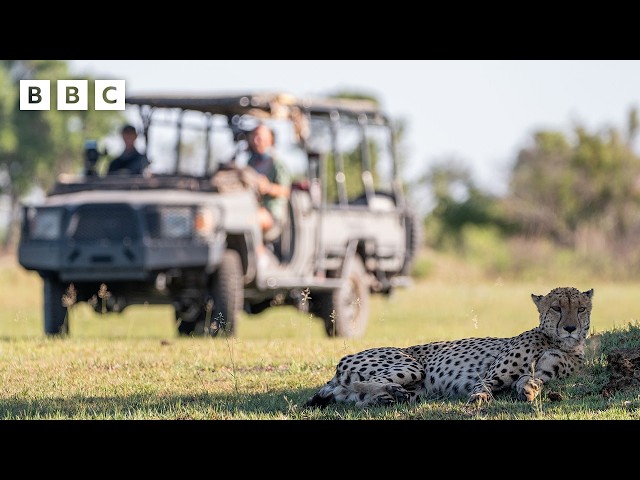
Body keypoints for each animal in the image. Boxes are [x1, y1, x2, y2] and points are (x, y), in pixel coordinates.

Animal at [304, 286, 596, 406]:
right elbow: (483, 387)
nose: (570, 328)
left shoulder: (538, 374)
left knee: (357, 394)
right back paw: (394, 391)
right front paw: (479, 400)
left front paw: (530, 392)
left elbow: (531, 381)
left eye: (581, 309)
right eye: (557, 308)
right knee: (360, 382)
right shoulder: (489, 374)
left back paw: (393, 396)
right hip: (411, 366)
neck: (557, 342)